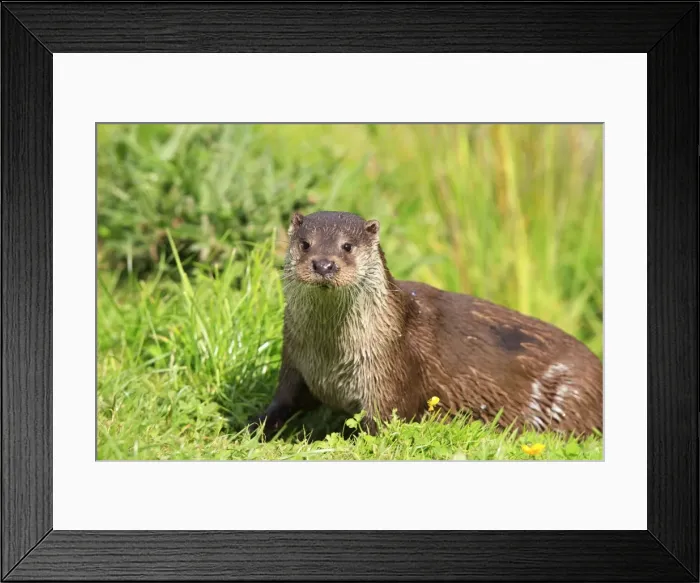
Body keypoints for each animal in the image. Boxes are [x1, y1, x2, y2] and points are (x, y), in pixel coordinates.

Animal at [249, 210, 603, 438]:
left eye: (347, 246)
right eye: (305, 243)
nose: (323, 264)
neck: (329, 356)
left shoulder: (388, 374)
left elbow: (382, 426)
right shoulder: (295, 360)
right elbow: (284, 401)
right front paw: (254, 426)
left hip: (572, 392)